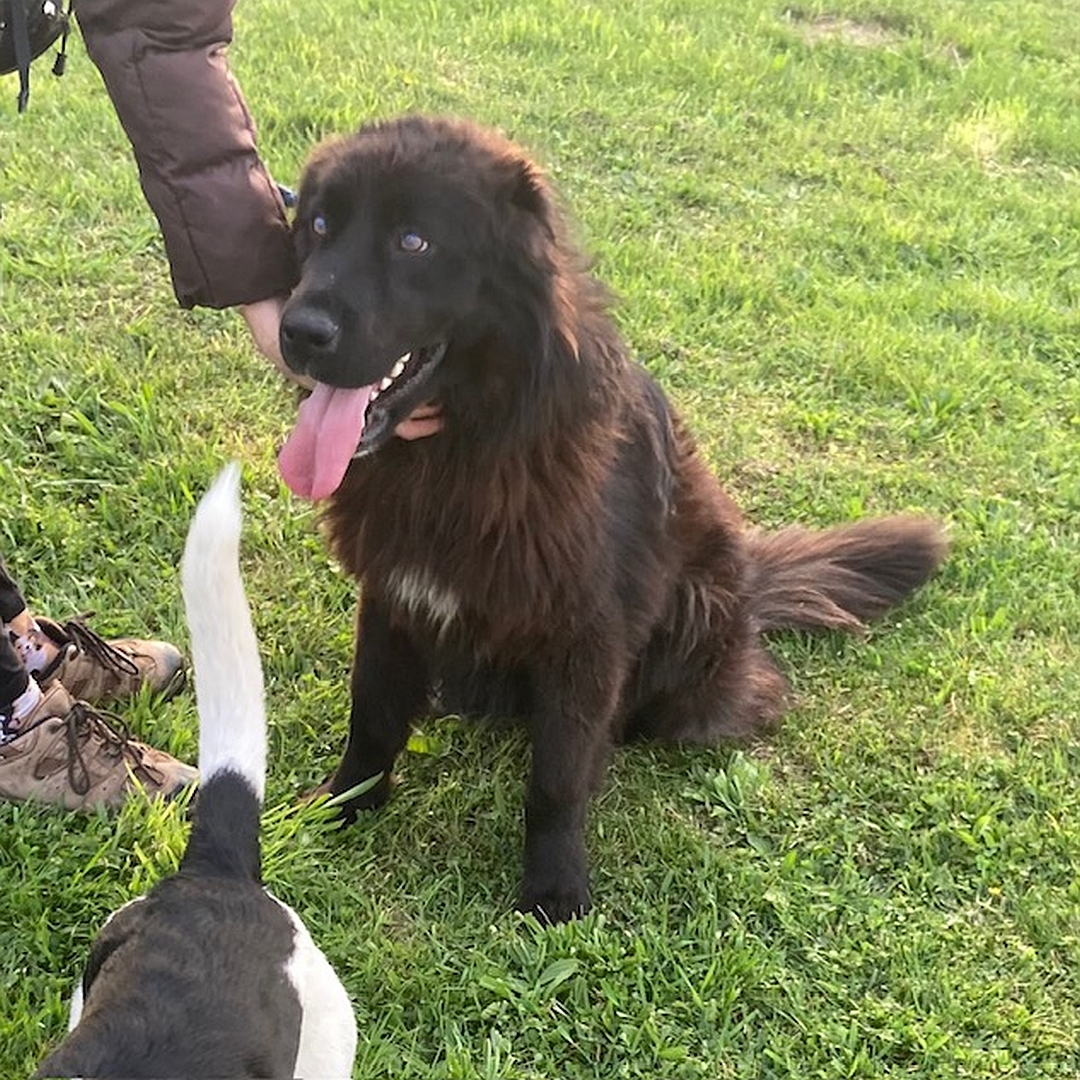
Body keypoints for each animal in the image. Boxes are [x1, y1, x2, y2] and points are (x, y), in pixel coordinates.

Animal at [276, 120, 946, 928]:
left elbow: (558, 775)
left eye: (413, 242)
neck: (466, 447)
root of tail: (751, 585)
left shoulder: (586, 634)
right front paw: (342, 808)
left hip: (695, 611)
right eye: (318, 226)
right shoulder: (393, 594)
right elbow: (372, 719)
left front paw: (555, 886)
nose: (297, 331)